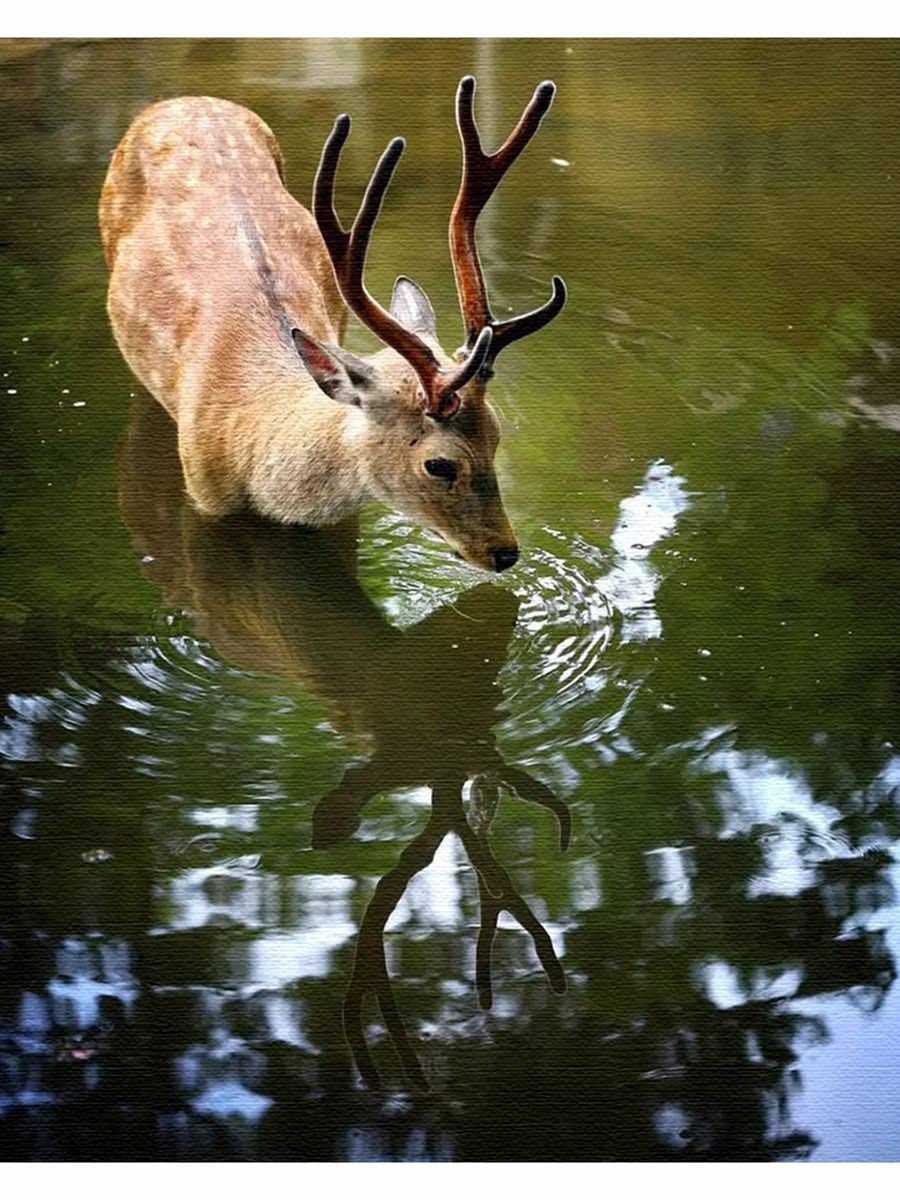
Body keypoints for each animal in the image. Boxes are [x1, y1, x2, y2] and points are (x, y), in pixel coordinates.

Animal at [98, 77, 564, 573]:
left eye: (496, 435)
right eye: (439, 464)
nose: (505, 551)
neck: (248, 437)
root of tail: (185, 100)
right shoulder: (204, 497)